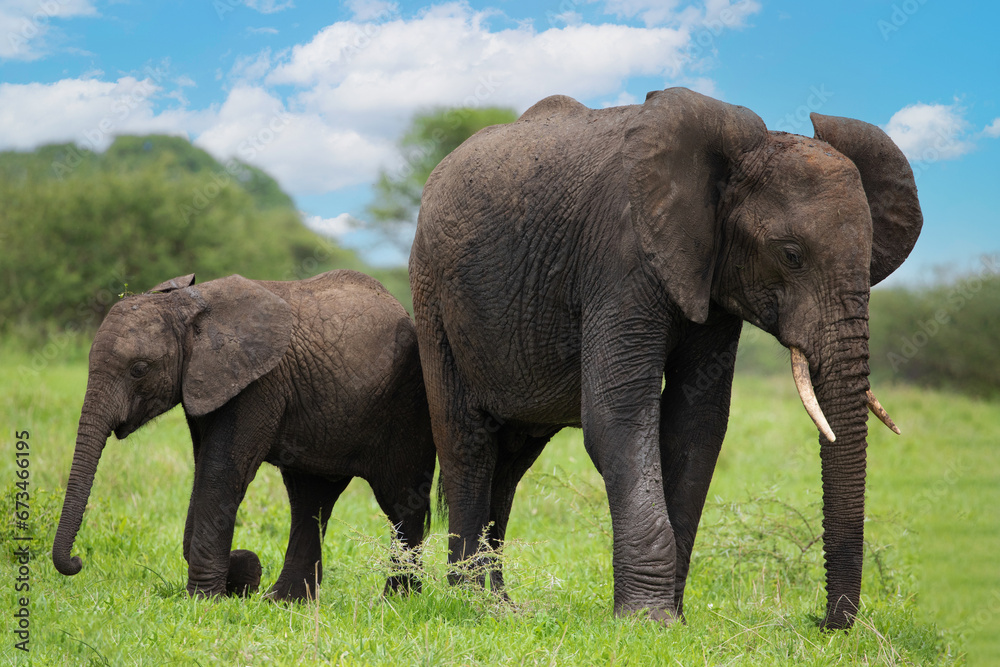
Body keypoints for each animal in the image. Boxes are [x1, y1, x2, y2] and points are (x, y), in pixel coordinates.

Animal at [53, 270, 436, 601]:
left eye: (139, 369)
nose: (77, 562)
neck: (190, 307)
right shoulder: (205, 383)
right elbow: (204, 471)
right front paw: (241, 575)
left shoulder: (259, 382)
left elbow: (221, 474)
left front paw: (206, 599)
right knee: (310, 500)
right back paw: (284, 602)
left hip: (407, 403)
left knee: (401, 501)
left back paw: (396, 602)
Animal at [408, 87, 921, 629]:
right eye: (791, 255)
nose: (822, 623)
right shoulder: (621, 257)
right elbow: (619, 415)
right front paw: (648, 621)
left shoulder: (710, 277)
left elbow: (697, 426)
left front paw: (672, 620)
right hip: (433, 293)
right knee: (468, 443)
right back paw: (474, 603)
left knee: (511, 461)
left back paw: (502, 606)